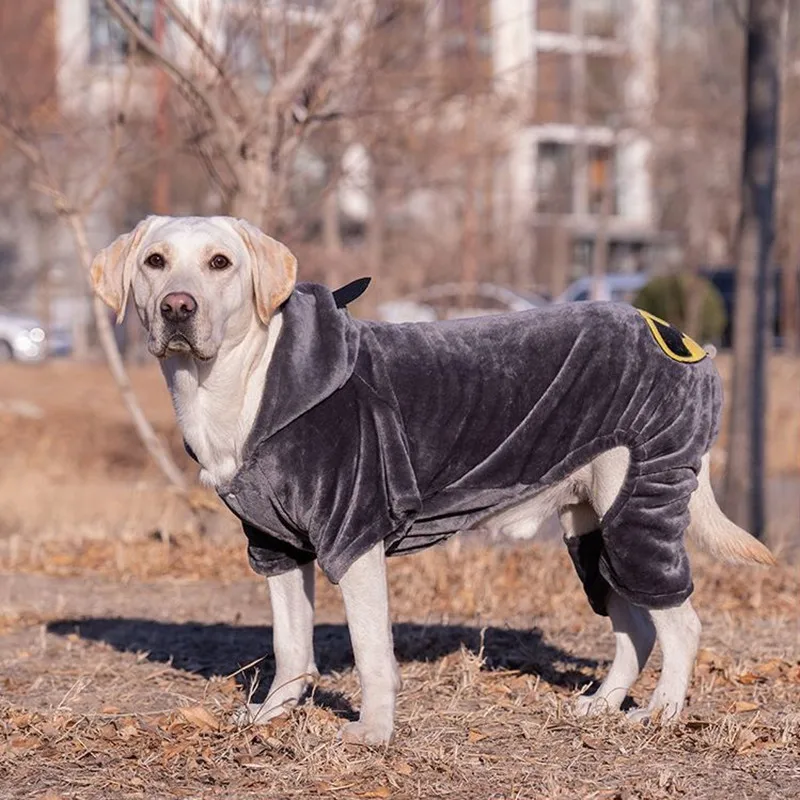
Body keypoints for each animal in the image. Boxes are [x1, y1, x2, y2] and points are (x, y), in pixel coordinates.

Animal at [90, 214, 772, 744]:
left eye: (220, 263)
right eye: (155, 261)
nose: (178, 307)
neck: (246, 381)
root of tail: (685, 341)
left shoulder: (352, 538)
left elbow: (370, 652)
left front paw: (371, 733)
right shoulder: (275, 548)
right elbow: (290, 645)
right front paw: (272, 716)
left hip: (639, 507)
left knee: (680, 623)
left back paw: (661, 714)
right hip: (592, 530)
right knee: (636, 624)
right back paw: (603, 705)